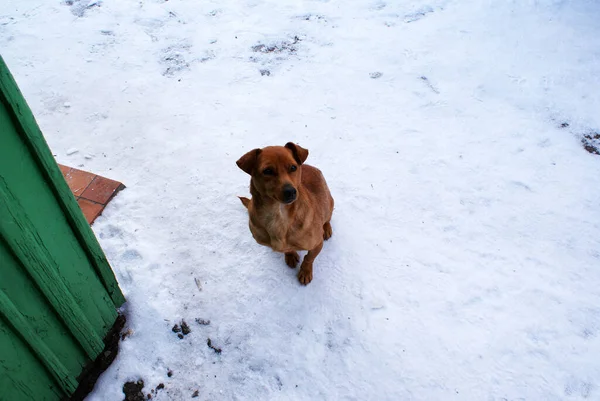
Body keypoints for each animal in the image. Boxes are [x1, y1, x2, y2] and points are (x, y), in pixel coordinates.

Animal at [237, 142, 336, 282]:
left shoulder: (317, 243)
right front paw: (290, 255)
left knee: (327, 217)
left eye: (293, 167)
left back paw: (326, 228)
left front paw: (305, 271)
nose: (291, 191)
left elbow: (309, 258)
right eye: (268, 171)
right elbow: (286, 250)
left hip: (328, 203)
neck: (278, 215)